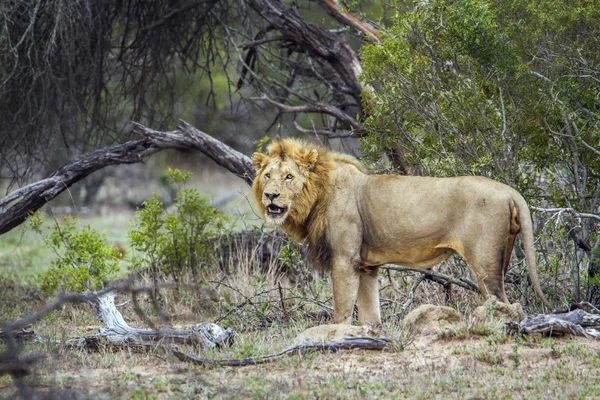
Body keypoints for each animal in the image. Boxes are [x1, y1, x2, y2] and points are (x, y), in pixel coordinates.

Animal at [251, 139, 552, 326]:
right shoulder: (366, 267)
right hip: (503, 254)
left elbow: (342, 311)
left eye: (289, 176)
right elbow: (370, 316)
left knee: (502, 302)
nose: (270, 195)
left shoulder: (345, 261)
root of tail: (509, 190)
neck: (317, 195)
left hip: (485, 261)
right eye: (267, 176)